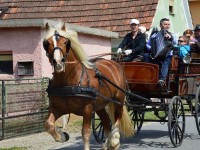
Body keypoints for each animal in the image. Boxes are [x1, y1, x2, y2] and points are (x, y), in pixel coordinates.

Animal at [43, 22, 134, 150]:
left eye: (65, 42)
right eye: (47, 43)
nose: (58, 62)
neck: (68, 80)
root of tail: (115, 64)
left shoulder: (87, 108)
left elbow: (85, 133)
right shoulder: (57, 107)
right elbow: (48, 124)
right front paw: (62, 136)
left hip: (118, 99)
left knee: (117, 118)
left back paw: (114, 141)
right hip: (100, 104)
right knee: (106, 121)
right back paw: (106, 144)